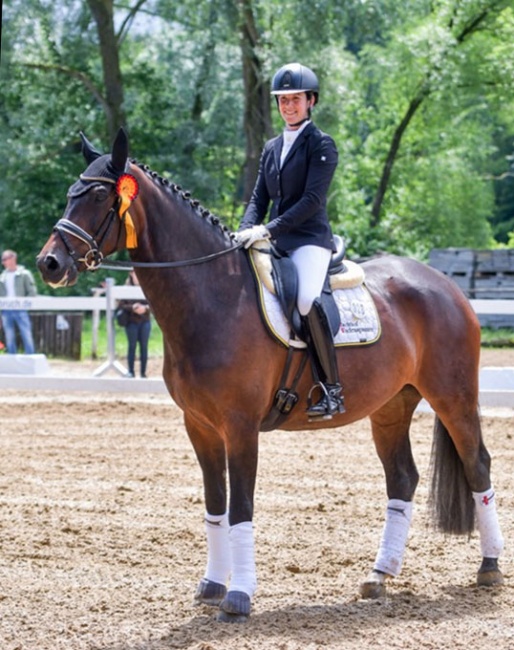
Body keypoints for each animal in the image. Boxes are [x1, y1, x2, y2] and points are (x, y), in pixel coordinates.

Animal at [37, 129, 504, 620]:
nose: (49, 263)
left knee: (477, 465)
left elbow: (241, 507)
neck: (215, 297)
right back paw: (379, 575)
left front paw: (239, 596)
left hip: (452, 395)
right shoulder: (200, 426)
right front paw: (212, 585)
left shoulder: (240, 426)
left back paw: (489, 567)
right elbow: (216, 505)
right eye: (70, 193)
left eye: (99, 195)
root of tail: (445, 285)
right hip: (392, 406)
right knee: (402, 479)